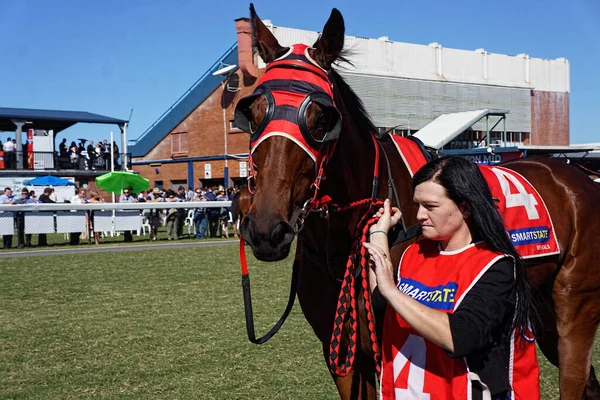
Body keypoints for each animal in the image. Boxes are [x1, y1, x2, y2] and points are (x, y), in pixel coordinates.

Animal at [237, 4, 600, 398]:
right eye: (252, 114)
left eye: (321, 117)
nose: (266, 230)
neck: (345, 242)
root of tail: (579, 175)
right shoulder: (343, 355)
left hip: (575, 308)